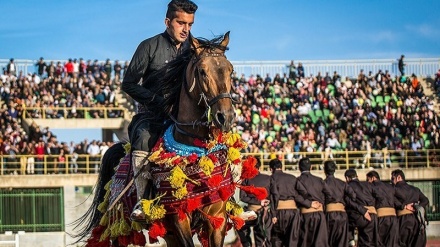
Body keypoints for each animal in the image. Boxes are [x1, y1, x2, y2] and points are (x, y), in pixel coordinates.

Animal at [70, 31, 260, 246]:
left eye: (230, 70)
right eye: (202, 71)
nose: (225, 117)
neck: (195, 150)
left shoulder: (216, 220)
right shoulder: (179, 220)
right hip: (119, 227)